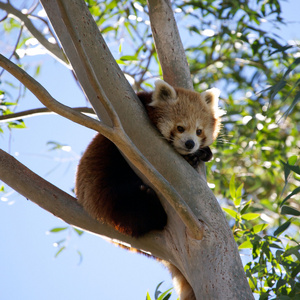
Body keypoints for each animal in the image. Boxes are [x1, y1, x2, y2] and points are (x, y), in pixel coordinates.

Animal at [75, 79, 220, 300]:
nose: (190, 144)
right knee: (132, 210)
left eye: (199, 131)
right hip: (105, 192)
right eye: (180, 128)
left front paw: (202, 154)